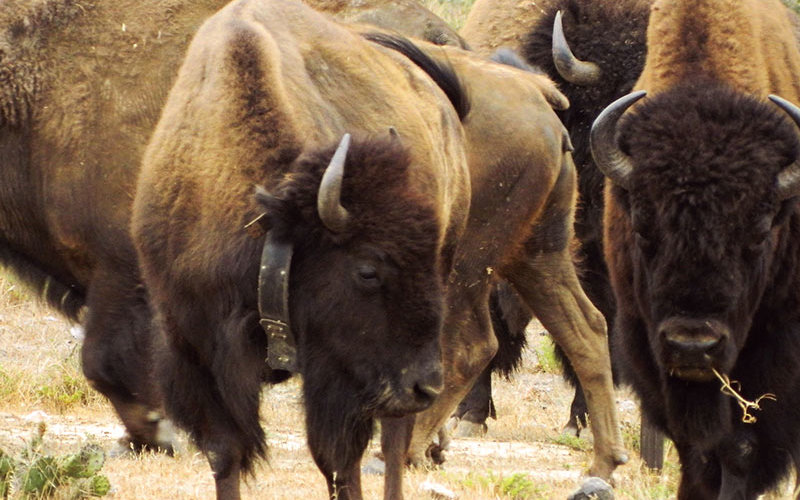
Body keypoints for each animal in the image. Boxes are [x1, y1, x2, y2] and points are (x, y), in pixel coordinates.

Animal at [592, 0, 800, 496]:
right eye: (642, 227)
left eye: (759, 233)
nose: (692, 345)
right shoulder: (643, 339)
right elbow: (696, 446)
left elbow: (743, 444)